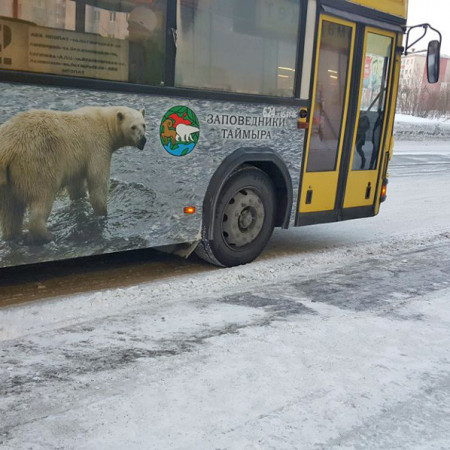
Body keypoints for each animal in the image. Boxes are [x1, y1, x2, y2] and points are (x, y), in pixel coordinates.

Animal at [0, 106, 147, 244]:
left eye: (144, 125)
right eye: (133, 127)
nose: (143, 140)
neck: (104, 121)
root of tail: (7, 150)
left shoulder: (77, 162)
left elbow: (76, 185)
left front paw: (80, 198)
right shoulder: (98, 147)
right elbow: (97, 181)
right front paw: (103, 213)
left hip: (7, 181)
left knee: (11, 211)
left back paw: (12, 235)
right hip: (36, 165)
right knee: (41, 198)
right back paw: (46, 236)